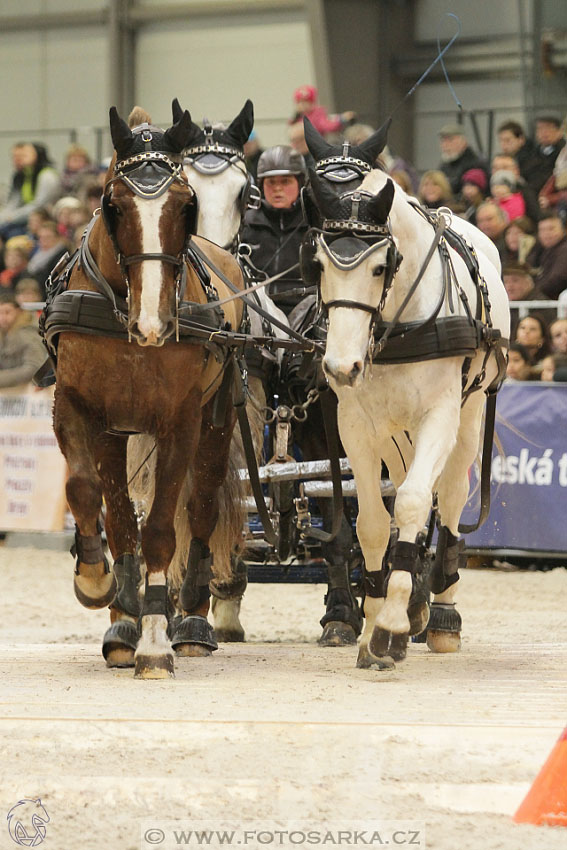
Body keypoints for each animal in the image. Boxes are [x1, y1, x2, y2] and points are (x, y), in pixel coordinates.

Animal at [47, 104, 245, 676]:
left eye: (185, 205)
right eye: (113, 205)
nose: (154, 324)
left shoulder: (180, 422)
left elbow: (161, 528)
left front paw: (156, 643)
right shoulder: (80, 411)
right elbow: (88, 496)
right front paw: (99, 585)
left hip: (216, 422)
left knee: (200, 510)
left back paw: (193, 620)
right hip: (117, 435)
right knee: (118, 517)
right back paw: (123, 619)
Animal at [306, 167, 510, 668]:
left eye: (380, 267)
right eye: (318, 265)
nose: (341, 366)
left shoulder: (440, 415)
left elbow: (416, 502)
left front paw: (393, 619)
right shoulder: (356, 426)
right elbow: (374, 522)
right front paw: (374, 628)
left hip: (469, 414)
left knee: (449, 497)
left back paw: (441, 614)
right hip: (397, 433)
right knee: (402, 487)